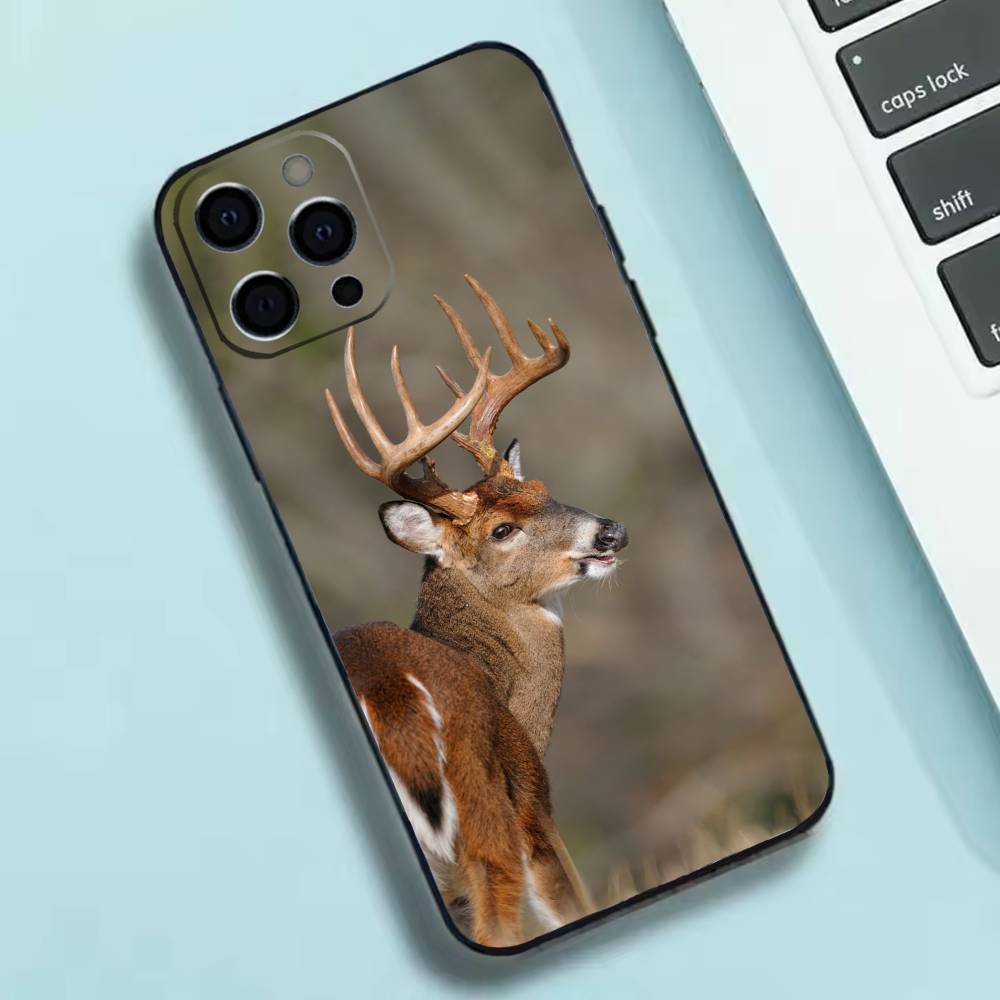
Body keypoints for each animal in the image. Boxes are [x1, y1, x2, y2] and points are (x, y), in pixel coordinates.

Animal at [324, 275, 628, 947]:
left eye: (542, 489)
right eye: (502, 530)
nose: (610, 531)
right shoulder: (535, 811)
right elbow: (572, 904)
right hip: (485, 814)